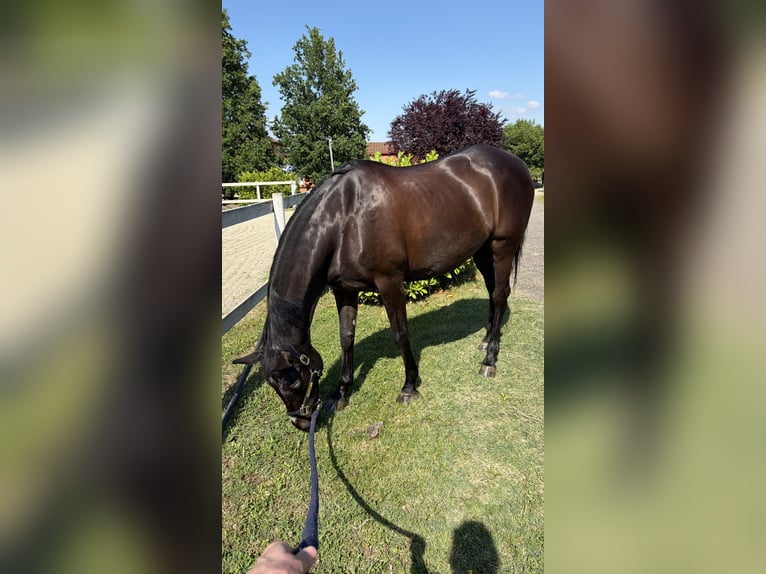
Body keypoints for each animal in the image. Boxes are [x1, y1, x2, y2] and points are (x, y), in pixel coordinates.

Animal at [234, 144, 534, 430]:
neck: (344, 218)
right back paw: (486, 340)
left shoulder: (390, 282)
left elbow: (400, 333)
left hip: (502, 247)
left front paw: (409, 386)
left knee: (500, 294)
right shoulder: (345, 290)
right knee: (492, 292)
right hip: (482, 251)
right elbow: (346, 337)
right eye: (272, 385)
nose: (302, 422)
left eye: (295, 380)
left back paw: (490, 360)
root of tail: (516, 164)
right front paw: (341, 393)